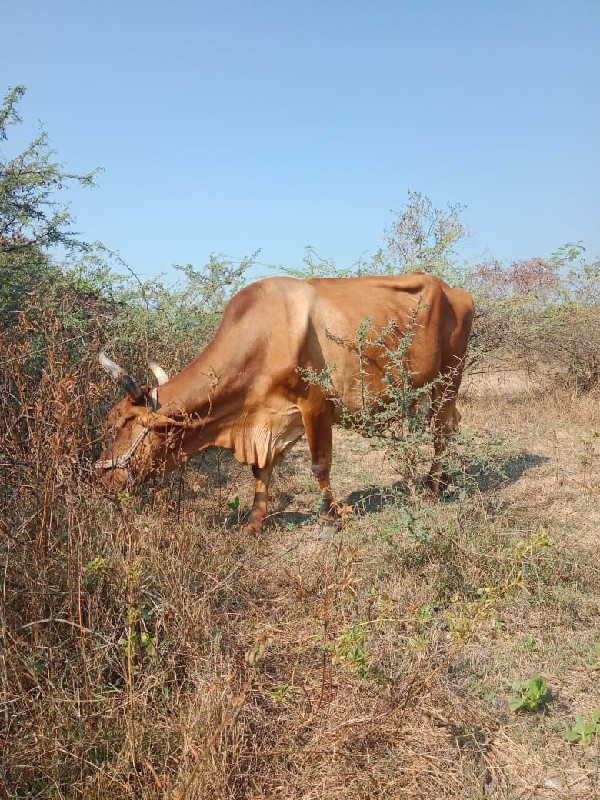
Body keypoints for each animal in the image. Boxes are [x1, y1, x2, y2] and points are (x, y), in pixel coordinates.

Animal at [96, 276, 474, 532]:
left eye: (118, 427)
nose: (100, 480)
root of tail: (455, 290)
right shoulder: (270, 419)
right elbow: (260, 471)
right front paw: (253, 523)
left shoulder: (317, 406)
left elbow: (320, 465)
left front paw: (330, 517)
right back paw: (433, 480)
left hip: (450, 378)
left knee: (443, 429)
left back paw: (434, 485)